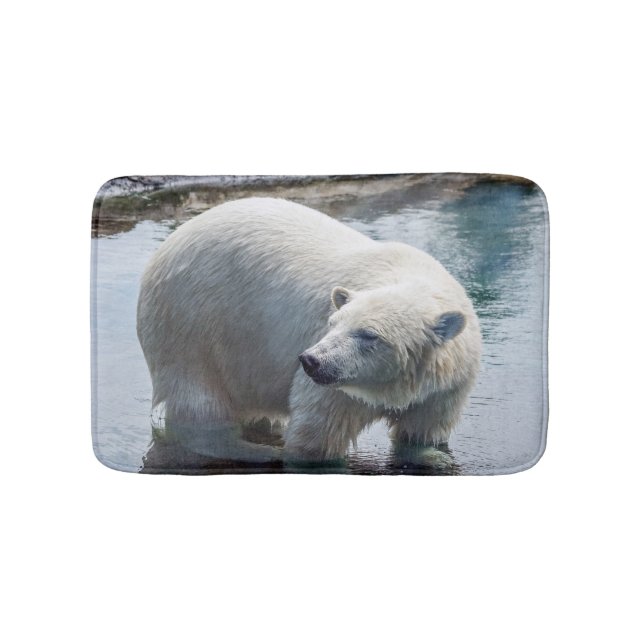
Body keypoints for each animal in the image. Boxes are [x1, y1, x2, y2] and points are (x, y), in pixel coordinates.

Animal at [136, 197, 481, 464]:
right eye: (333, 323)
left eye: (369, 335)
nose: (311, 360)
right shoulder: (334, 388)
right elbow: (317, 435)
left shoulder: (444, 388)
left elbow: (421, 433)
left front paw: (433, 456)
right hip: (192, 326)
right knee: (201, 409)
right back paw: (255, 450)